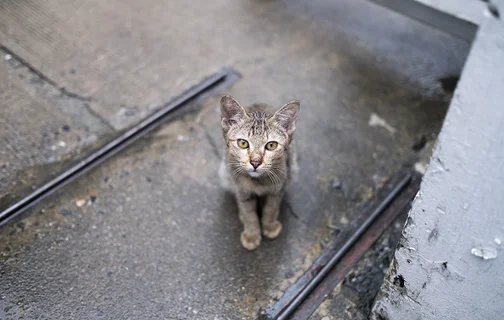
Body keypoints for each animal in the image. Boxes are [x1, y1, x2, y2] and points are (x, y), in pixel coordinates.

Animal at [218, 94, 298, 250]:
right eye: (243, 143)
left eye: (271, 145)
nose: (255, 162)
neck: (258, 181)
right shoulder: (242, 191)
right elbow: (249, 213)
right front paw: (251, 234)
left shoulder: (278, 188)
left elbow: (271, 208)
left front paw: (269, 225)